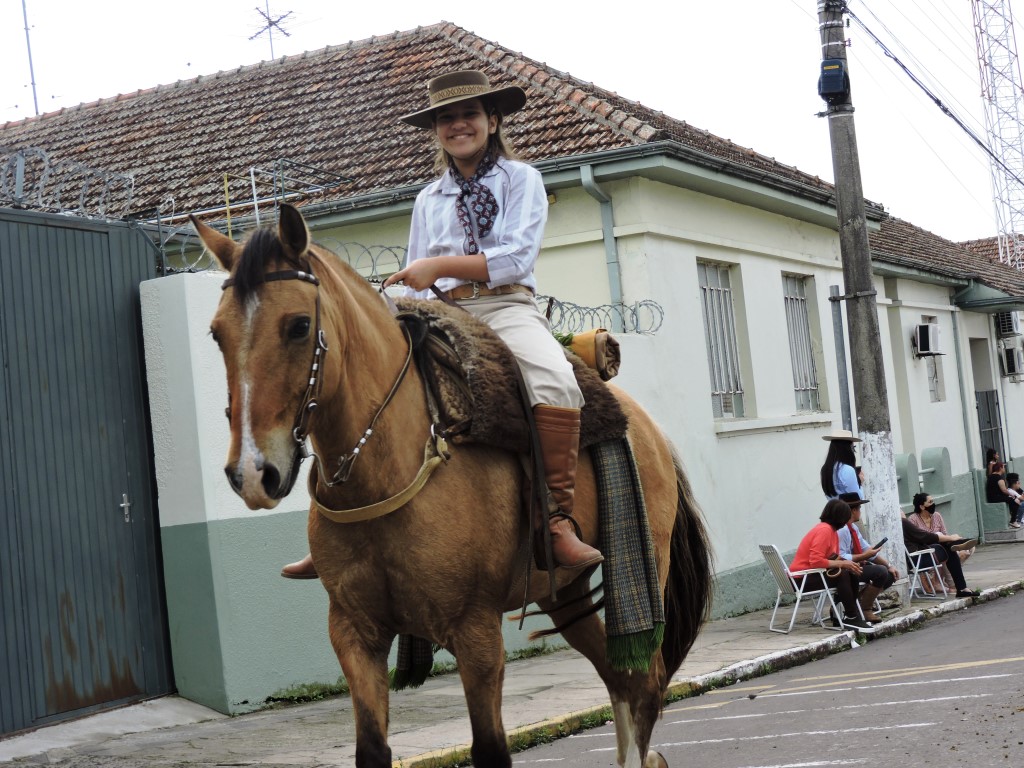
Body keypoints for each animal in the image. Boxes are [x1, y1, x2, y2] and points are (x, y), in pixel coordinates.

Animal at [193, 205, 712, 768]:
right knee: (621, 679)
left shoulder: (476, 633)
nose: (252, 473)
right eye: (216, 333)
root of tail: (647, 427)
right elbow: (371, 748)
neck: (387, 471)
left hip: (641, 565)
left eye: (299, 325)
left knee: (644, 684)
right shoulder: (353, 633)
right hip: (566, 593)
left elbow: (490, 748)